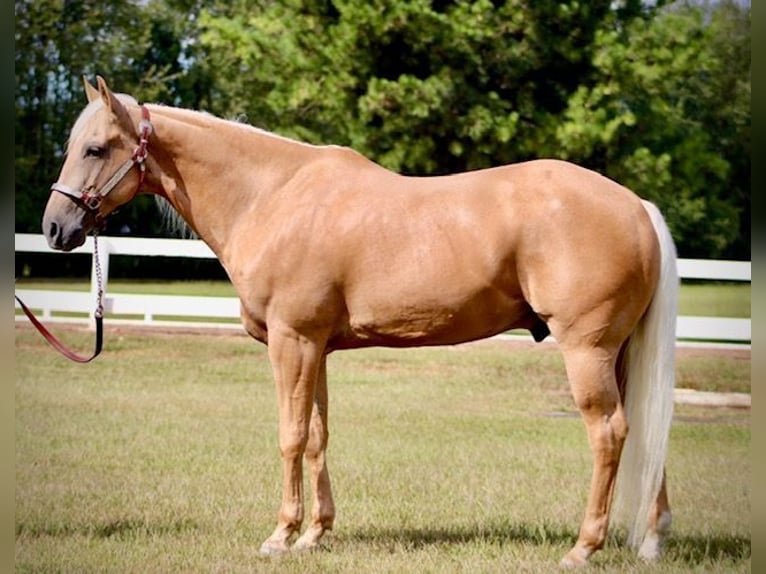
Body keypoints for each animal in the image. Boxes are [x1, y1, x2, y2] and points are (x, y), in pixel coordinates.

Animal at [41, 76, 677, 567]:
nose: (54, 228)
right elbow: (319, 436)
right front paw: (315, 535)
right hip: (619, 353)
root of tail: (637, 206)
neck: (272, 197)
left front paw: (280, 537)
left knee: (609, 433)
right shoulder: (316, 347)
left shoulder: (292, 342)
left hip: (586, 350)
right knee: (646, 428)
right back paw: (650, 541)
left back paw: (583, 548)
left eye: (95, 148)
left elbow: (291, 436)